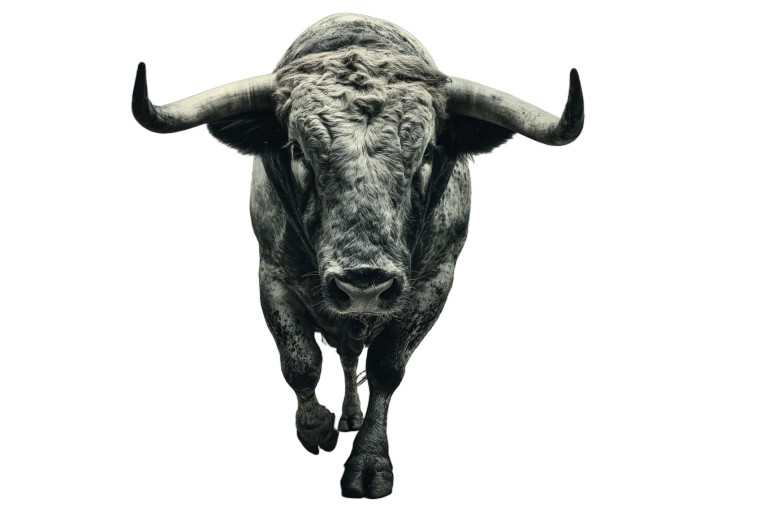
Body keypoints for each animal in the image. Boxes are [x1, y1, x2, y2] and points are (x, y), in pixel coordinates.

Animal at [131, 13, 583, 498]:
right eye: (297, 149)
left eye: (428, 151)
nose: (363, 285)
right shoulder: (272, 274)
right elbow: (300, 363)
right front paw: (315, 428)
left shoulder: (434, 282)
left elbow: (386, 368)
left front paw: (369, 462)